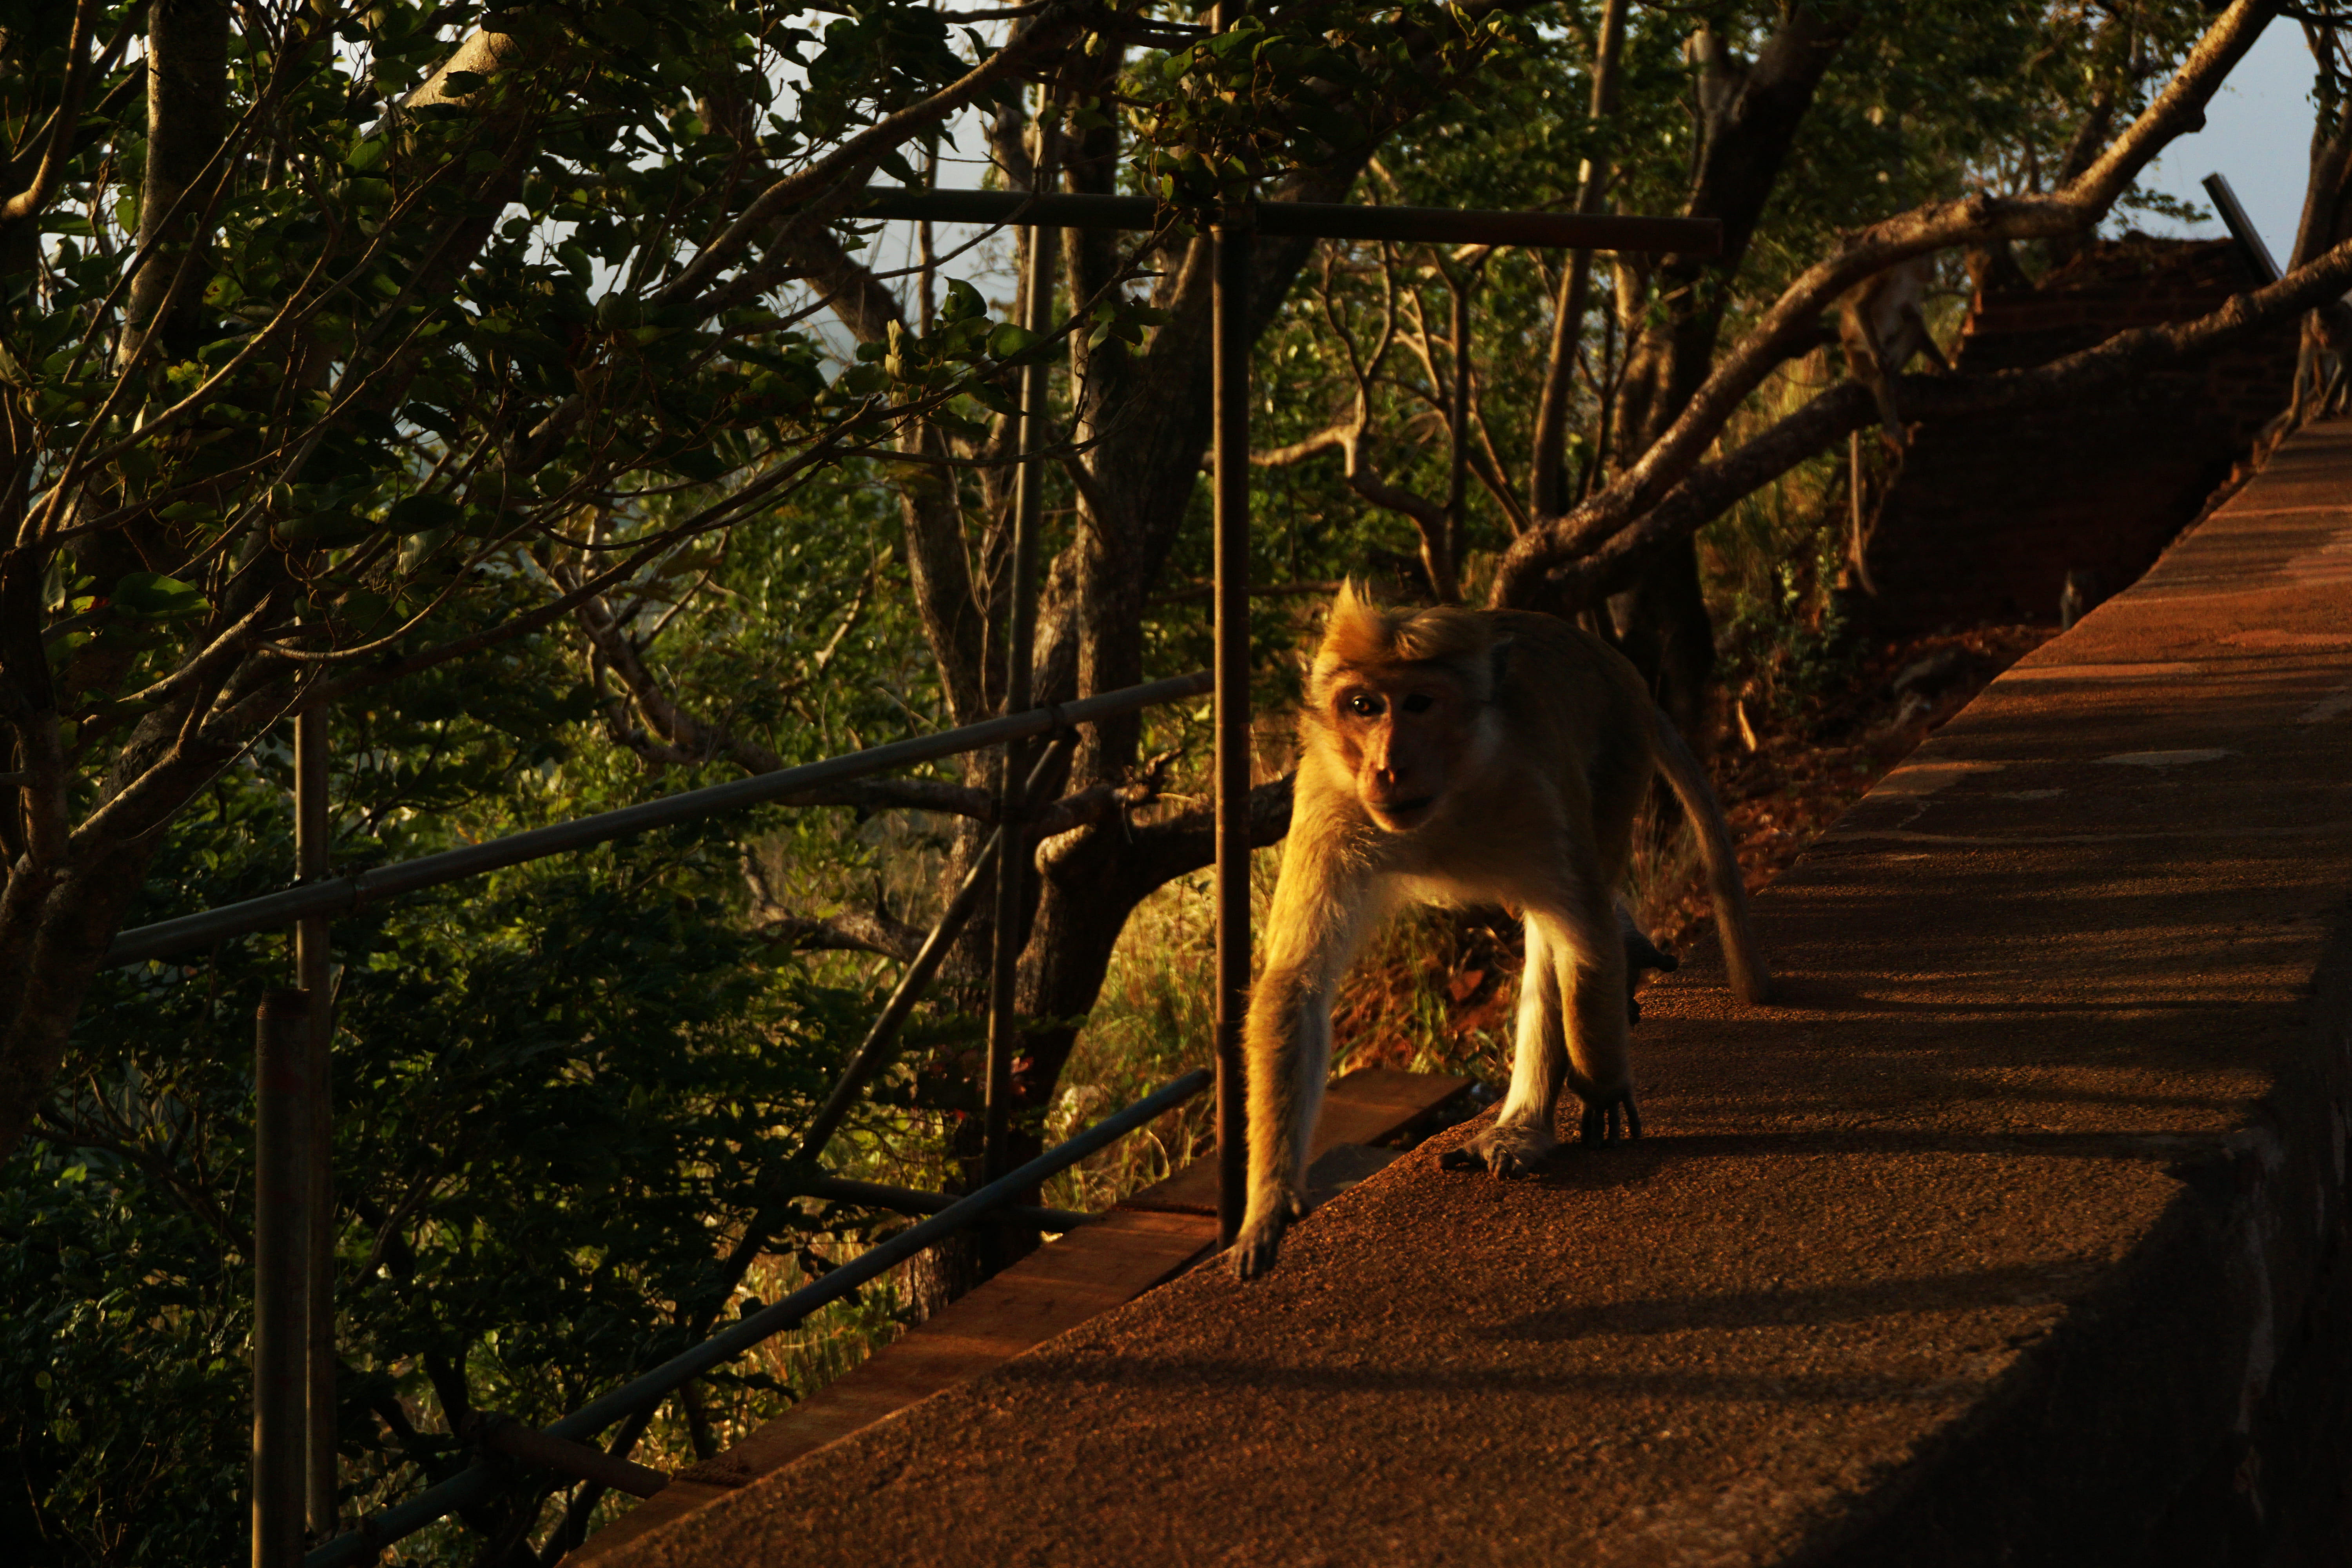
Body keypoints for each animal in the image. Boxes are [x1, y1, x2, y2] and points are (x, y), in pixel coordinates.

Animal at [1227, 585, 1772, 1280]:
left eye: (1418, 703)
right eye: (1363, 706)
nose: (1387, 767)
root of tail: (1615, 661)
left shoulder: (1533, 787)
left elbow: (1581, 935)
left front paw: (1602, 1086)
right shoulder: (1330, 798)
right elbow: (1297, 981)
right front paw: (1268, 1201)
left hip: (1620, 748)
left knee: (1559, 930)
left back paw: (1530, 1123)